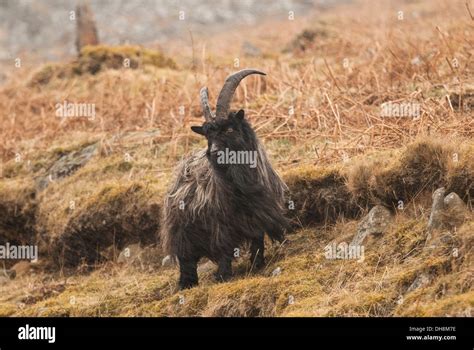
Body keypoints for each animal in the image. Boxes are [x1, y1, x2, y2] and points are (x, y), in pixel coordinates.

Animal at [160, 69, 288, 290]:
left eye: (229, 129)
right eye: (207, 136)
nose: (213, 152)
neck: (242, 186)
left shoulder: (259, 214)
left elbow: (257, 240)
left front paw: (257, 265)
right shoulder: (220, 222)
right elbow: (224, 248)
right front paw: (223, 275)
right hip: (181, 231)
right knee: (187, 260)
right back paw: (187, 284)